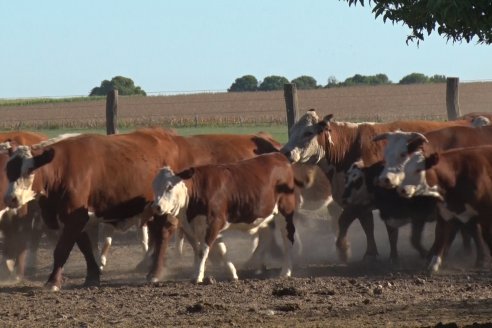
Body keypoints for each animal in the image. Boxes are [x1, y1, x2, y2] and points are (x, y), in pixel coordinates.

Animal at [151, 152, 296, 284]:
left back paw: (286, 271)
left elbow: (203, 251)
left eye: (169, 187)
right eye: (154, 187)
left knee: (288, 239)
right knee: (266, 236)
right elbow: (220, 250)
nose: (157, 207)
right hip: (266, 216)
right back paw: (256, 265)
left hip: (285, 212)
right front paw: (232, 273)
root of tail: (278, 156)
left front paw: (198, 276)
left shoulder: (213, 223)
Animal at [280, 109, 476, 262]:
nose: (285, 152)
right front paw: (371, 253)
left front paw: (344, 251)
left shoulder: (366, 200)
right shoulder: (361, 201)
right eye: (292, 131)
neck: (349, 148)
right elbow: (367, 225)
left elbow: (345, 221)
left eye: (308, 132)